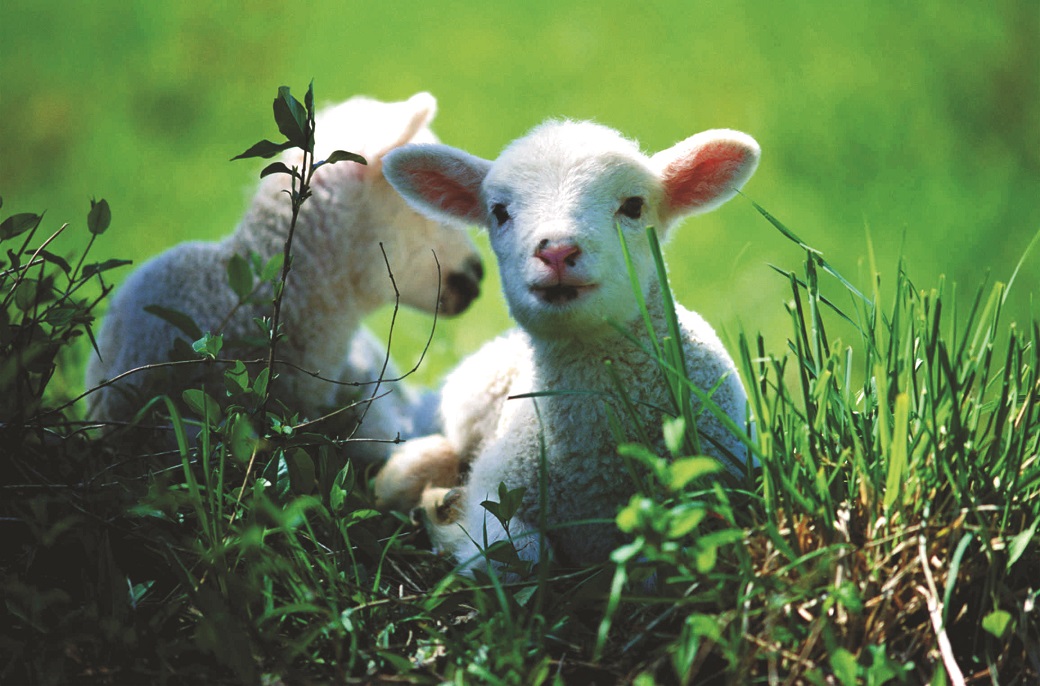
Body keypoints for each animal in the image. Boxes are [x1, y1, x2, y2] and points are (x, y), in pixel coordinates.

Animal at [378, 117, 761, 569]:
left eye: (634, 206)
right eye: (499, 211)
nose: (557, 251)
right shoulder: (496, 490)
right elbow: (521, 555)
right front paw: (449, 519)